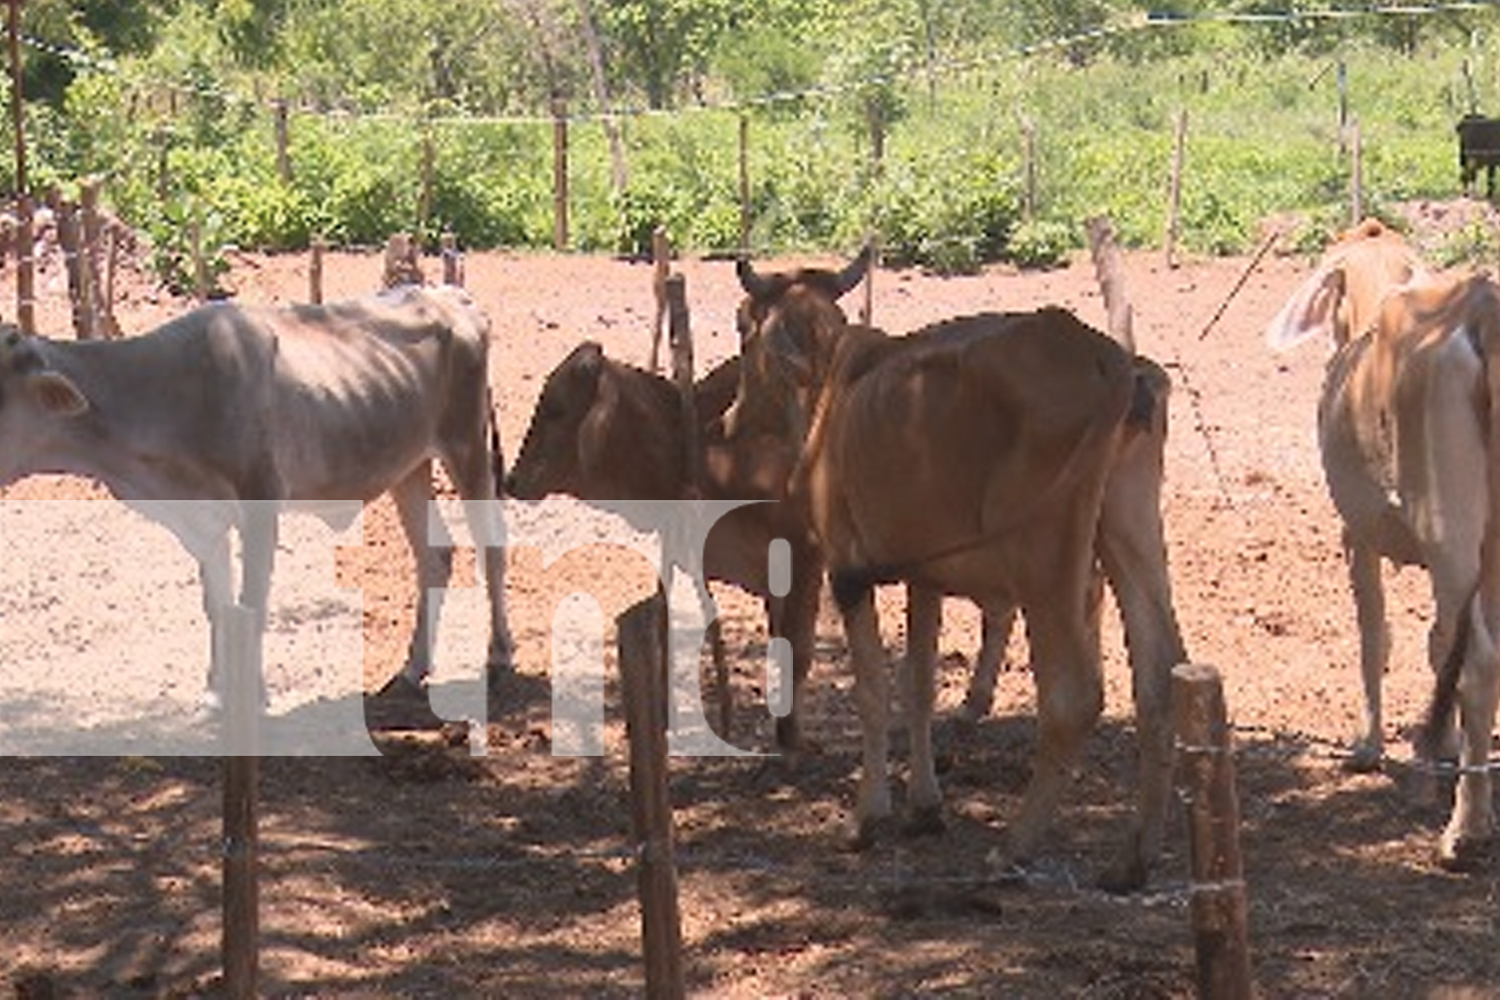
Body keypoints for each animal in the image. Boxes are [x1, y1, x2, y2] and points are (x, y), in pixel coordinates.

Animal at [0, 281, 516, 704]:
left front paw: (254, 694)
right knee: (435, 555)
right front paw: (216, 692)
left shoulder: (260, 501)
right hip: (408, 464)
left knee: (491, 544)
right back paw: (411, 671)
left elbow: (252, 602)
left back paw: (499, 656)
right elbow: (218, 605)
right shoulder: (202, 518)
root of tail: (447, 294)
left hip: (466, 442)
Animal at [732, 251, 1188, 893]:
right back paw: (1132, 859)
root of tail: (1110, 360)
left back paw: (1015, 847)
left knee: (1073, 696)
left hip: (1046, 557)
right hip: (1130, 523)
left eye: (742, 326)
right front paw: (925, 807)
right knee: (1158, 676)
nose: (729, 417)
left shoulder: (847, 574)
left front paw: (866, 816)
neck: (835, 383)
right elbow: (919, 684)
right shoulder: (924, 574)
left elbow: (873, 691)